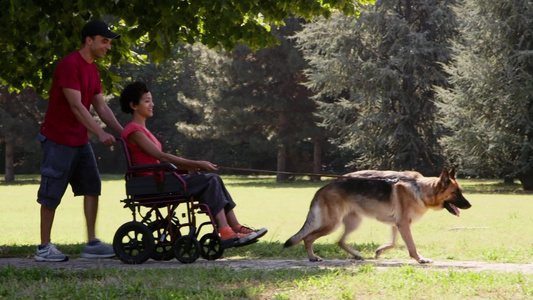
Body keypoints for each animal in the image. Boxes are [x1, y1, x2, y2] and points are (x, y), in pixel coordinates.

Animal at [282, 168, 470, 264]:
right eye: (456, 193)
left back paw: (357, 255)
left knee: (340, 241)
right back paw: (312, 257)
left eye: (460, 191)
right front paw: (420, 259)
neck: (421, 189)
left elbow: (393, 243)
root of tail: (322, 188)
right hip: (332, 224)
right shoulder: (403, 224)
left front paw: (379, 251)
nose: (470, 205)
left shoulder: (397, 224)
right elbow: (411, 246)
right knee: (308, 237)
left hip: (354, 222)